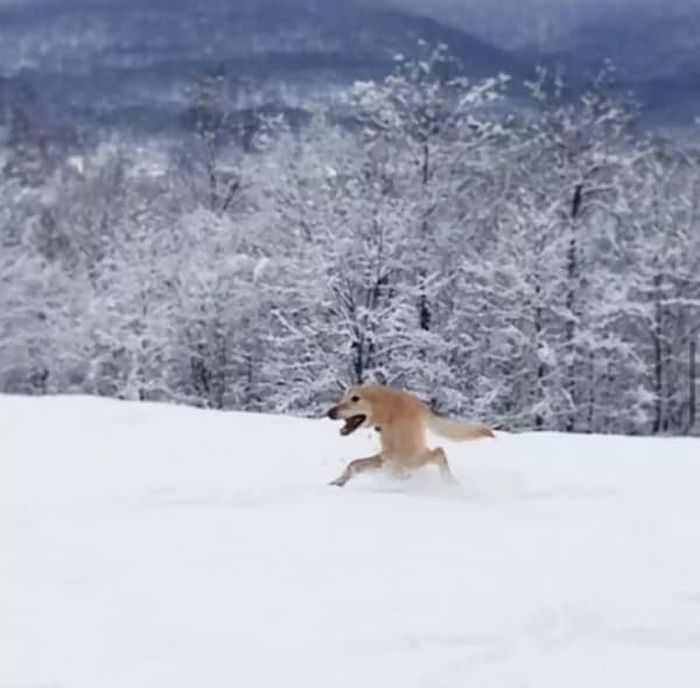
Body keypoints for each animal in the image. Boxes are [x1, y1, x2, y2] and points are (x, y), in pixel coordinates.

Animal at [326, 384, 494, 486]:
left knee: (439, 452)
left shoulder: (394, 456)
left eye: (355, 398)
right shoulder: (387, 455)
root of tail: (421, 405)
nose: (329, 412)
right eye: (342, 397)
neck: (388, 411)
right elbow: (354, 464)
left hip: (410, 456)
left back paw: (449, 482)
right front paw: (337, 482)